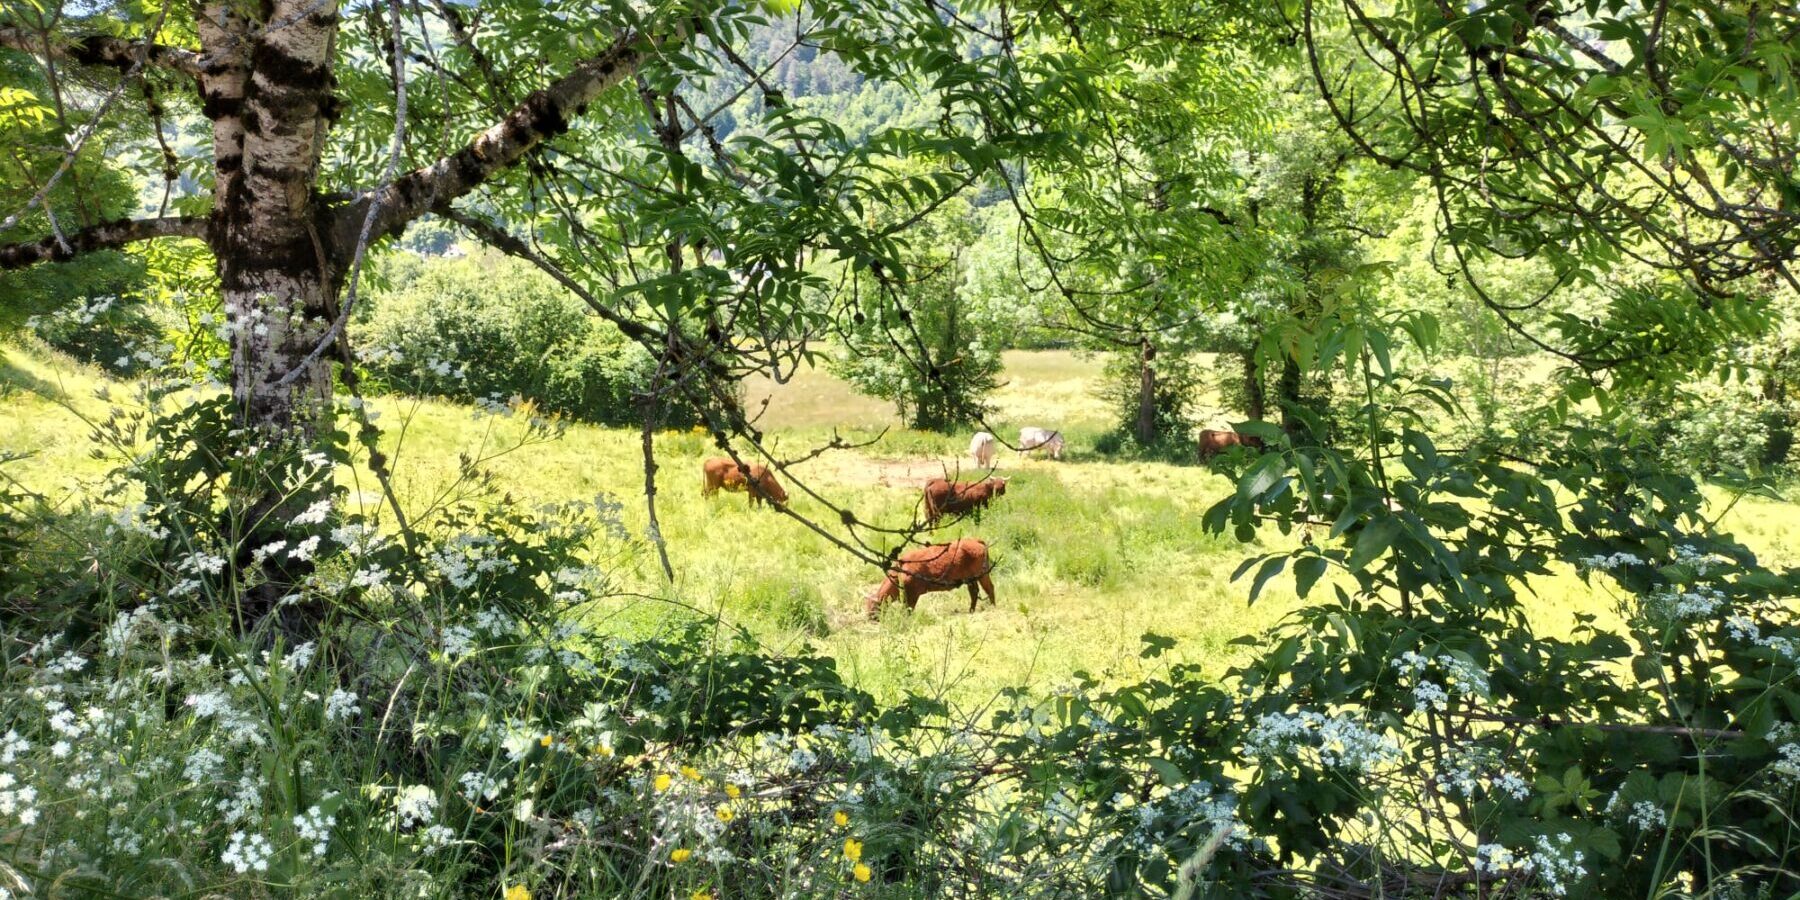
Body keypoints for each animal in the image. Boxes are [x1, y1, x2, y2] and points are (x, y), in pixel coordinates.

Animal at [864, 538, 996, 618]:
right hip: (970, 580)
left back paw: (993, 607)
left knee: (989, 589)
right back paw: (971, 610)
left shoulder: (913, 596)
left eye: (874, 606)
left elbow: (909, 609)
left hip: (982, 576)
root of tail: (976, 541)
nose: (870, 617)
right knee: (974, 593)